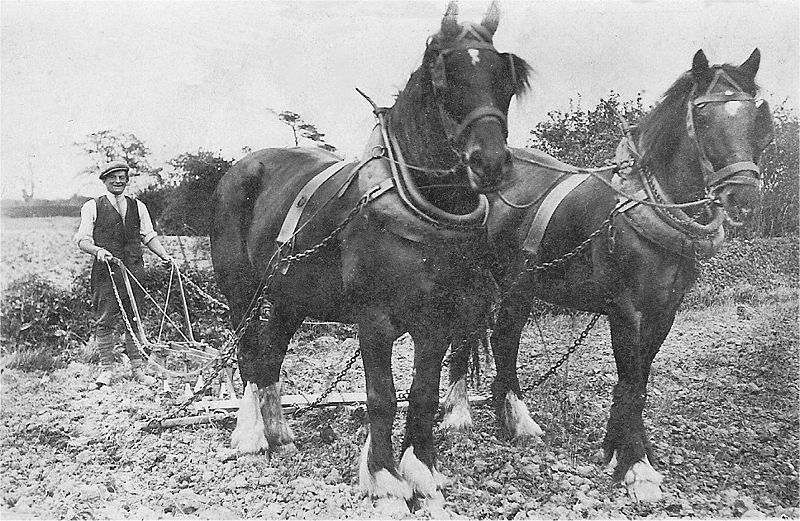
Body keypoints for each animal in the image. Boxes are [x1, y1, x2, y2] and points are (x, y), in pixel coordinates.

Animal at [209, 2, 528, 510]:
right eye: (443, 80)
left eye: (506, 79)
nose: (492, 163)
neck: (416, 206)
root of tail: (239, 169)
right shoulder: (374, 318)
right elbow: (382, 397)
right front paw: (383, 479)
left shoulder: (437, 319)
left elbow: (422, 395)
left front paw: (421, 473)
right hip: (241, 292)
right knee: (249, 355)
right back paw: (253, 437)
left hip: (289, 298)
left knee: (272, 354)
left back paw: (280, 434)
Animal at [444, 49, 776, 500]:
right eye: (703, 116)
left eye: (755, 117)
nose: (743, 197)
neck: (650, 207)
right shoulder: (625, 310)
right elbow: (631, 379)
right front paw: (636, 466)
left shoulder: (663, 312)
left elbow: (638, 382)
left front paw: (623, 450)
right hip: (475, 278)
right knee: (466, 335)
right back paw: (458, 414)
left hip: (519, 284)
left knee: (504, 341)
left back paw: (518, 422)